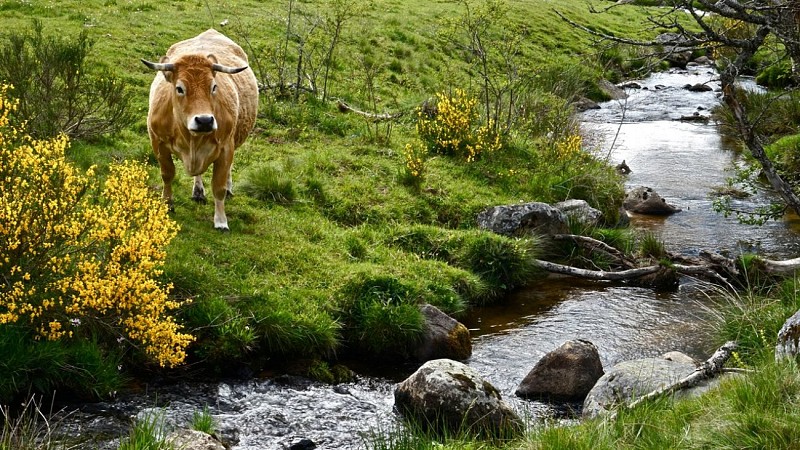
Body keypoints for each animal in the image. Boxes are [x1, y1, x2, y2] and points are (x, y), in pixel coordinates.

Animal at [142, 29, 258, 230]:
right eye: (180, 88)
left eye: (214, 86)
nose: (204, 121)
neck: (191, 138)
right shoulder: (158, 142)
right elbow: (167, 174)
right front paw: (168, 204)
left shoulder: (226, 147)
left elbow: (219, 186)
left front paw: (221, 220)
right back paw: (198, 191)